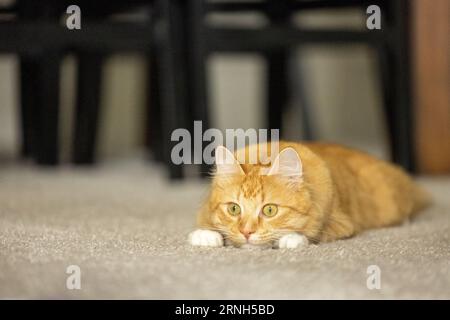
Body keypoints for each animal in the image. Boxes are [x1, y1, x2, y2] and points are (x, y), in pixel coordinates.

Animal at [188, 141, 430, 249]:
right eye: (234, 208)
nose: (247, 232)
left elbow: (313, 234)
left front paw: (291, 239)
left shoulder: (340, 222)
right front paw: (206, 235)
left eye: (270, 210)